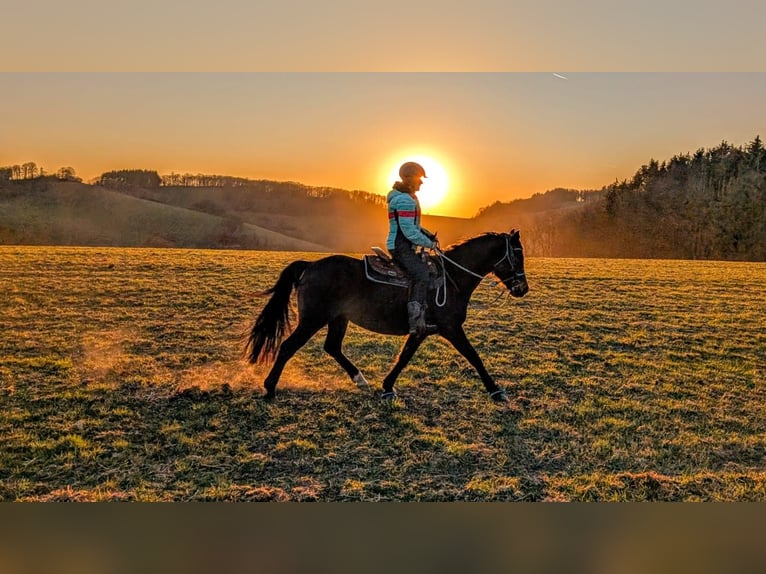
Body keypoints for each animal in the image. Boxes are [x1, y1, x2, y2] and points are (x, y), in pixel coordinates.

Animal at [245, 230, 529, 402]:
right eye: (517, 255)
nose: (522, 289)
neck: (451, 279)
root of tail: (311, 265)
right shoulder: (451, 328)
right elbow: (474, 356)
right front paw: (496, 391)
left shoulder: (422, 331)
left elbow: (404, 357)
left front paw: (387, 387)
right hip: (312, 320)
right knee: (287, 347)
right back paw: (270, 388)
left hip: (338, 319)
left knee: (332, 347)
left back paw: (360, 380)